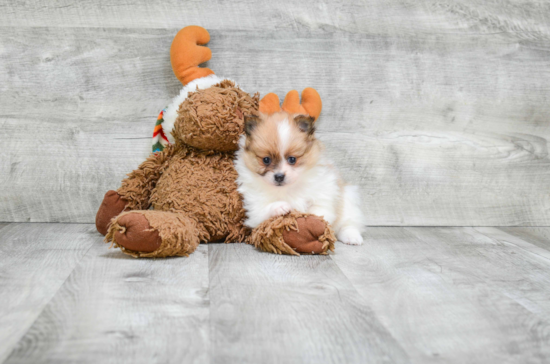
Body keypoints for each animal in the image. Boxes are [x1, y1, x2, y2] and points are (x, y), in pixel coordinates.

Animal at [234, 111, 366, 245]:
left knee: (348, 222)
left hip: (348, 199)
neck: (287, 188)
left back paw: (352, 237)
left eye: (292, 159)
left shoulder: (323, 195)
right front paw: (281, 206)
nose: (279, 176)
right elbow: (264, 211)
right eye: (266, 160)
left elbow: (317, 212)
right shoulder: (254, 208)